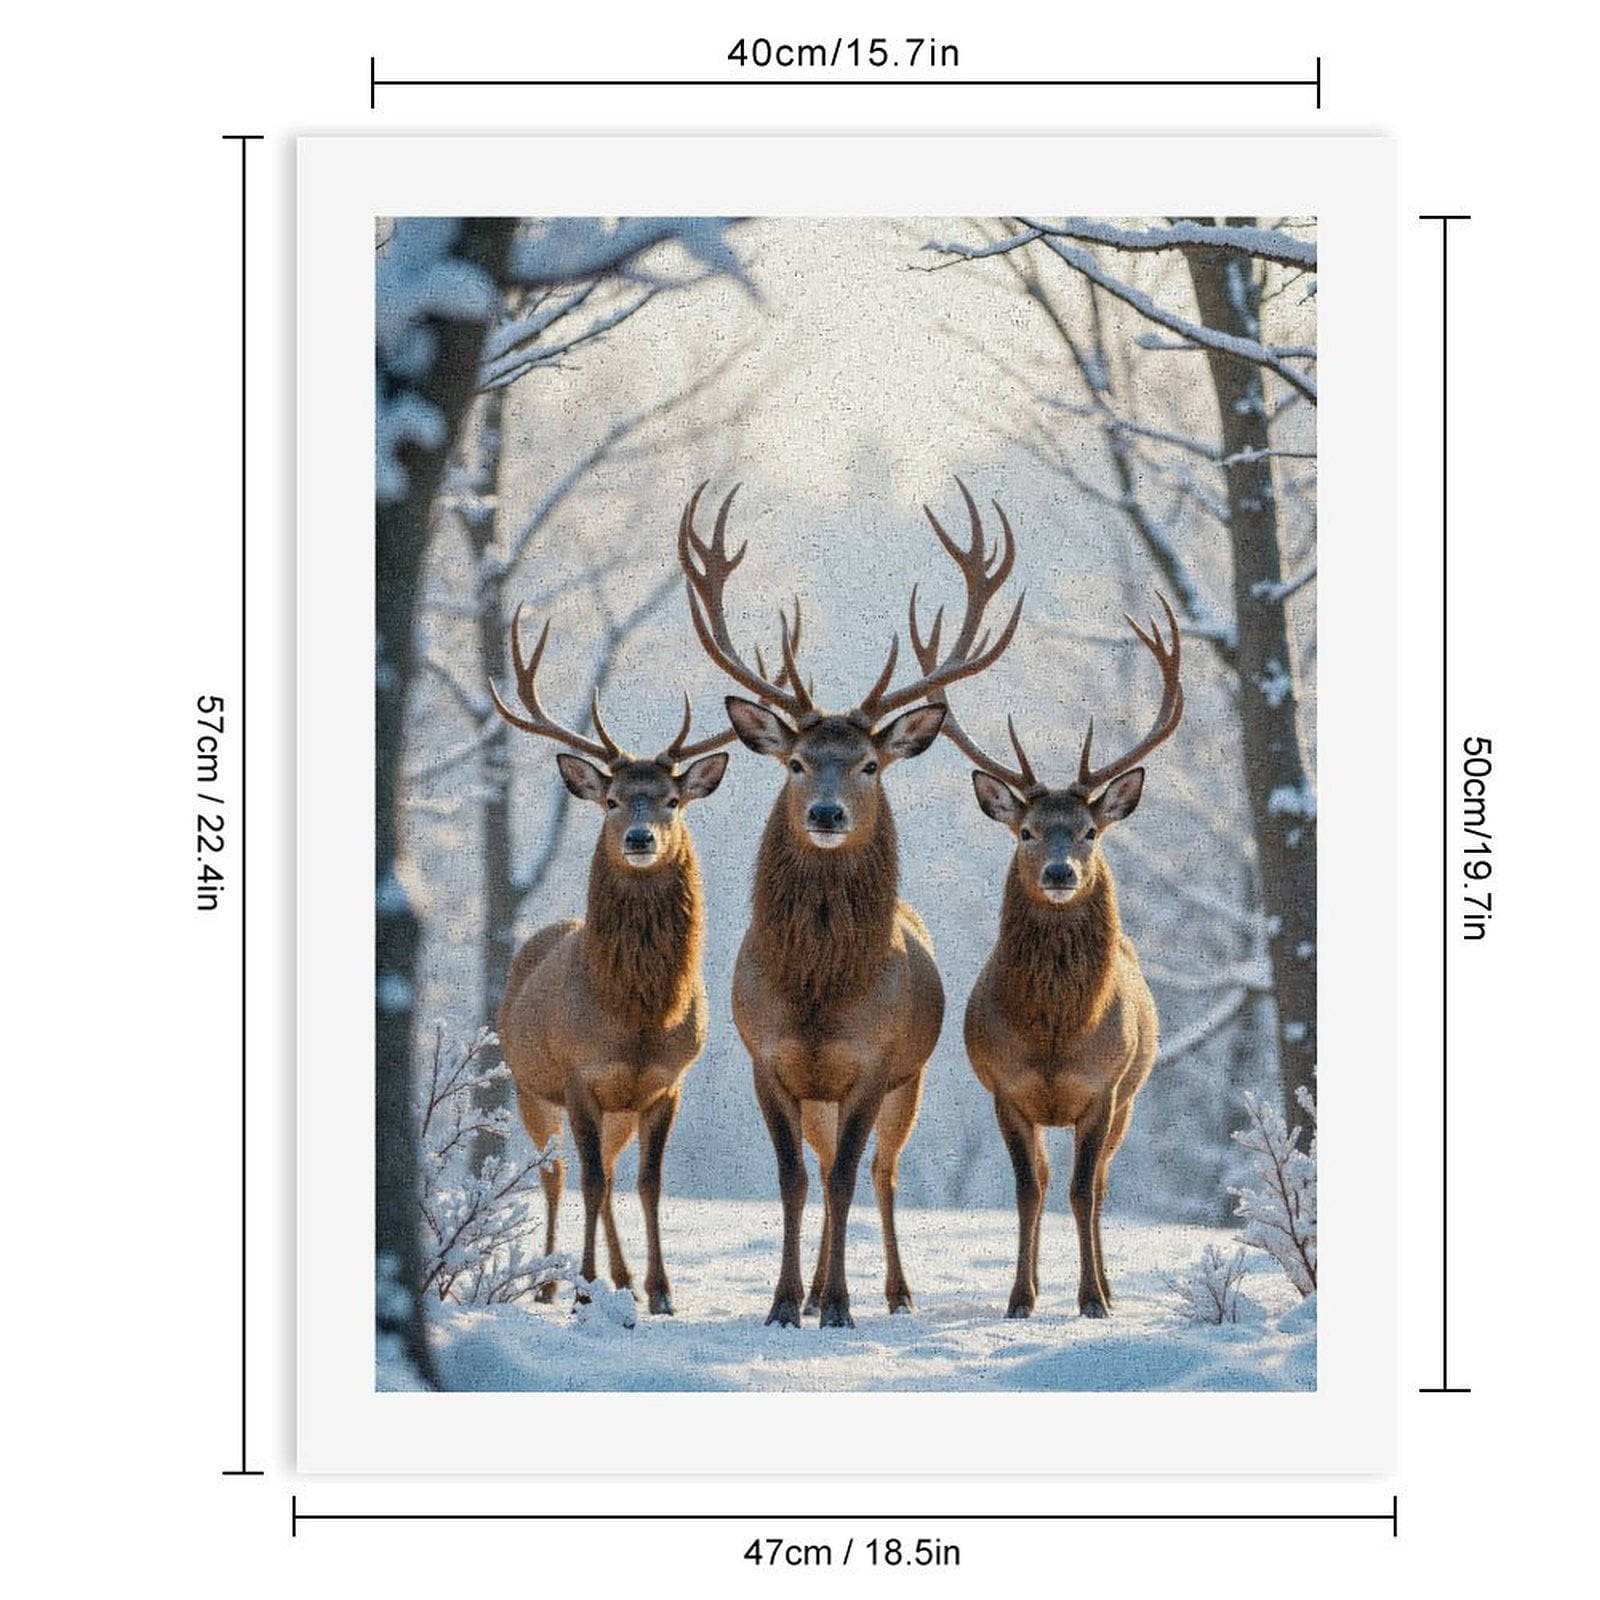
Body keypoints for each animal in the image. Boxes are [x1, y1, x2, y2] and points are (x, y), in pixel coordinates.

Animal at [489, 605, 736, 1316]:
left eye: (673, 800)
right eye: (612, 799)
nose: (640, 838)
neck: (635, 1018)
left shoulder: (665, 1082)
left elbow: (648, 1183)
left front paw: (661, 1293)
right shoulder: (577, 1076)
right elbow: (591, 1183)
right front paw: (582, 1291)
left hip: (616, 1109)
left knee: (611, 1171)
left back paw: (621, 1280)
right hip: (528, 1085)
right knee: (558, 1174)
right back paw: (552, 1283)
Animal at [678, 478, 1023, 1328]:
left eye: (870, 764)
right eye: (797, 761)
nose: (828, 814)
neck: (817, 994)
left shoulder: (873, 1064)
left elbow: (840, 1181)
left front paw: (836, 1305)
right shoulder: (766, 1060)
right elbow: (794, 1180)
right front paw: (782, 1303)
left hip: (909, 1085)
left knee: (878, 1173)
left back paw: (893, 1292)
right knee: (829, 1163)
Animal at [921, 597, 1183, 1319]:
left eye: (1090, 831)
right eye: (1027, 831)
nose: (1061, 872)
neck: (1056, 1036)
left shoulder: (1104, 1088)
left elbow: (1081, 1191)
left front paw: (1093, 1299)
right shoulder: (1005, 1089)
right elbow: (1028, 1190)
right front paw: (1020, 1298)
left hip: (1131, 1098)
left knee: (1101, 1186)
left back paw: (1109, 1287)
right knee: (1043, 1180)